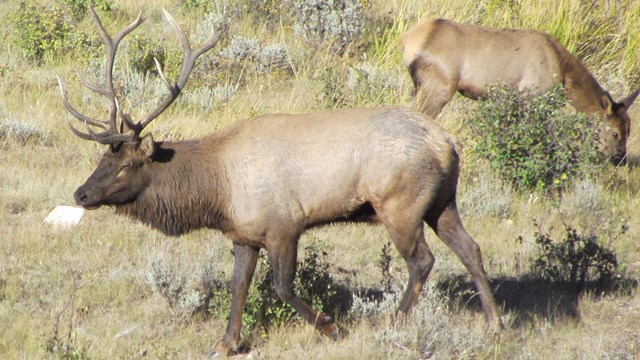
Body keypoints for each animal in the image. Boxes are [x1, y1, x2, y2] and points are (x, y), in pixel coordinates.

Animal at [58, 8, 504, 358]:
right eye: (101, 158)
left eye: (124, 165)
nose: (81, 193)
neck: (217, 192)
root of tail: (448, 143)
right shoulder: (244, 234)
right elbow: (238, 285)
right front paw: (225, 342)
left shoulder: (284, 225)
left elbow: (282, 287)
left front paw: (329, 326)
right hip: (442, 201)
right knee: (471, 249)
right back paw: (495, 324)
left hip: (400, 203)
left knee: (422, 261)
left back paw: (395, 322)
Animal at [400, 18, 640, 165]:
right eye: (615, 132)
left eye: (629, 129)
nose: (619, 159)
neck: (562, 73)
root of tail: (406, 41)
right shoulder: (531, 93)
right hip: (438, 88)